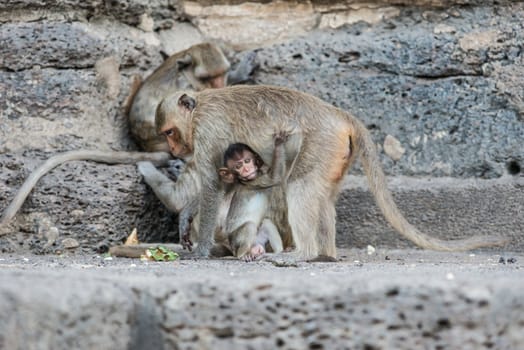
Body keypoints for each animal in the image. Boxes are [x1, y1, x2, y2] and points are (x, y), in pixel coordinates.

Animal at [216, 133, 292, 262]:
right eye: (238, 166)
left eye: (247, 161)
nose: (247, 169)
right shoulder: (255, 181)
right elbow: (275, 177)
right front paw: (278, 143)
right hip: (237, 241)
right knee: (249, 226)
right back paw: (243, 255)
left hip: (259, 239)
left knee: (266, 223)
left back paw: (277, 252)